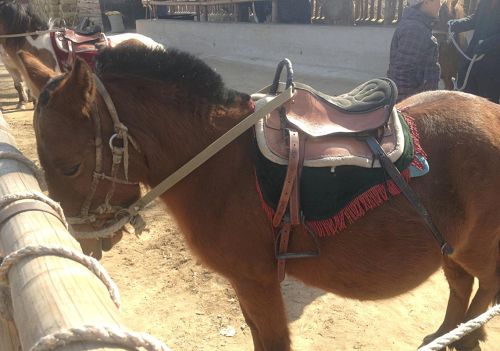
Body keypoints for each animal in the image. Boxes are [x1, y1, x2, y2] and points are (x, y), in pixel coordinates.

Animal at [20, 46, 500, 351]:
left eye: (69, 167)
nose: (84, 240)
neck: (220, 163)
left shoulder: (258, 281)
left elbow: (271, 340)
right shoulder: (244, 283)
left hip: (477, 247)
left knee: (486, 288)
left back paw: (468, 337)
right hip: (448, 245)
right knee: (461, 286)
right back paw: (447, 333)